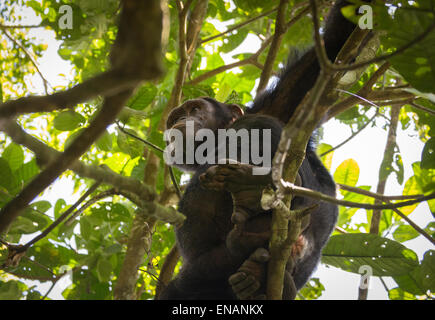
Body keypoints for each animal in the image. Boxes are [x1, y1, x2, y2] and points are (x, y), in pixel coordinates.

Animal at [158, 0, 362, 300]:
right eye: (176, 117)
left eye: (195, 109)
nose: (180, 122)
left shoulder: (277, 106)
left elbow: (333, 45)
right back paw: (251, 259)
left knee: (253, 128)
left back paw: (252, 194)